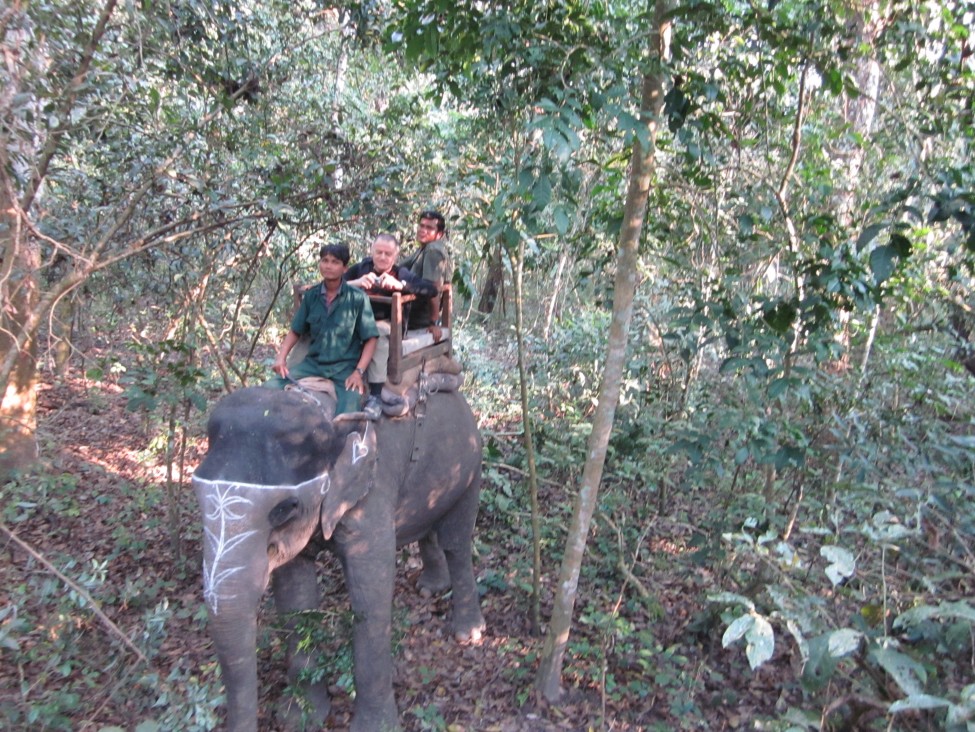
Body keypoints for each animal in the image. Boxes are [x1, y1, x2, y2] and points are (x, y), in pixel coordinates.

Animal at [193, 386, 488, 728]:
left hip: (471, 464)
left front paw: (376, 728)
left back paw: (469, 633)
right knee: (429, 527)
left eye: (284, 509)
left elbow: (370, 592)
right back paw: (431, 588)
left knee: (457, 541)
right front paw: (300, 718)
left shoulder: (371, 494)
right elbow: (295, 596)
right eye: (197, 499)